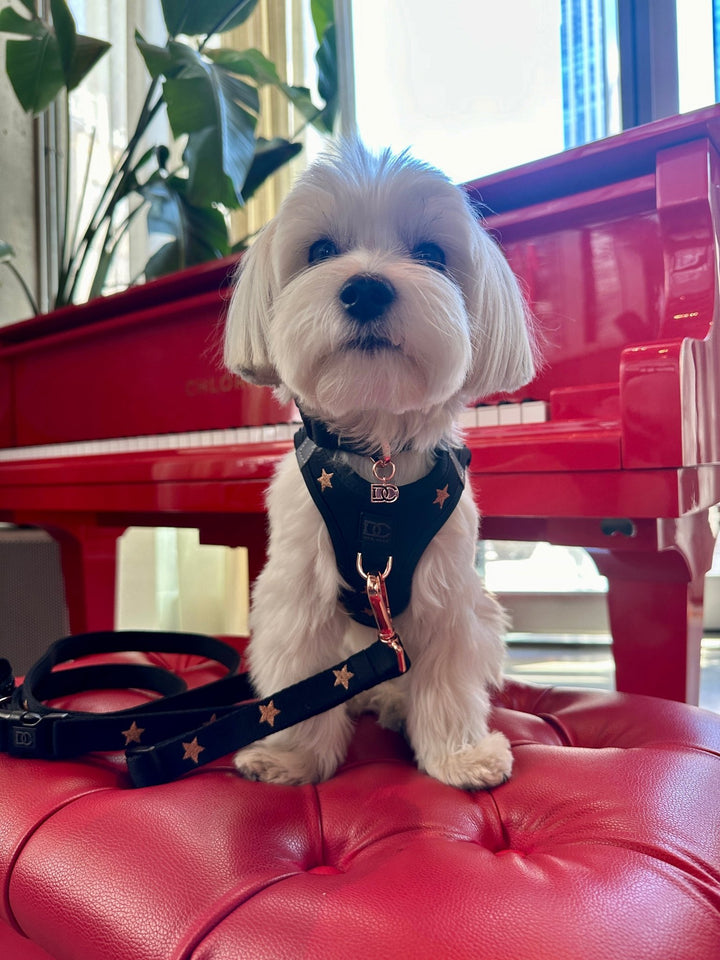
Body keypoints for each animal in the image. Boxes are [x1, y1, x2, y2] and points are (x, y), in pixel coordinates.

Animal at [225, 142, 536, 788]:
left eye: (432, 255)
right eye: (320, 251)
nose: (365, 289)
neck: (379, 464)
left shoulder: (448, 596)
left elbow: (447, 683)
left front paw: (458, 755)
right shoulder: (298, 591)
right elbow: (300, 681)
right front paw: (292, 756)